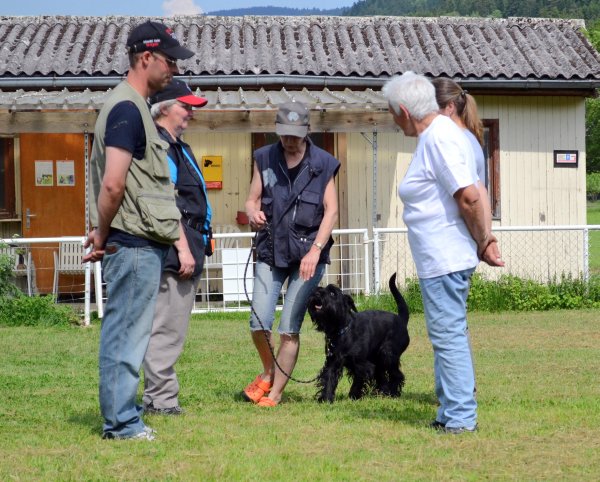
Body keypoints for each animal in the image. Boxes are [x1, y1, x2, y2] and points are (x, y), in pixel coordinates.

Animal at [308, 274, 410, 402]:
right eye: (319, 288)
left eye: (332, 293)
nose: (316, 293)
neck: (341, 330)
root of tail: (401, 319)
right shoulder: (332, 362)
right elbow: (329, 378)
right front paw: (325, 399)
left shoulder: (361, 364)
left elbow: (358, 380)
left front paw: (354, 396)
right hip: (378, 359)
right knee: (382, 376)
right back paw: (382, 393)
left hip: (388, 355)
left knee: (396, 375)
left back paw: (393, 393)